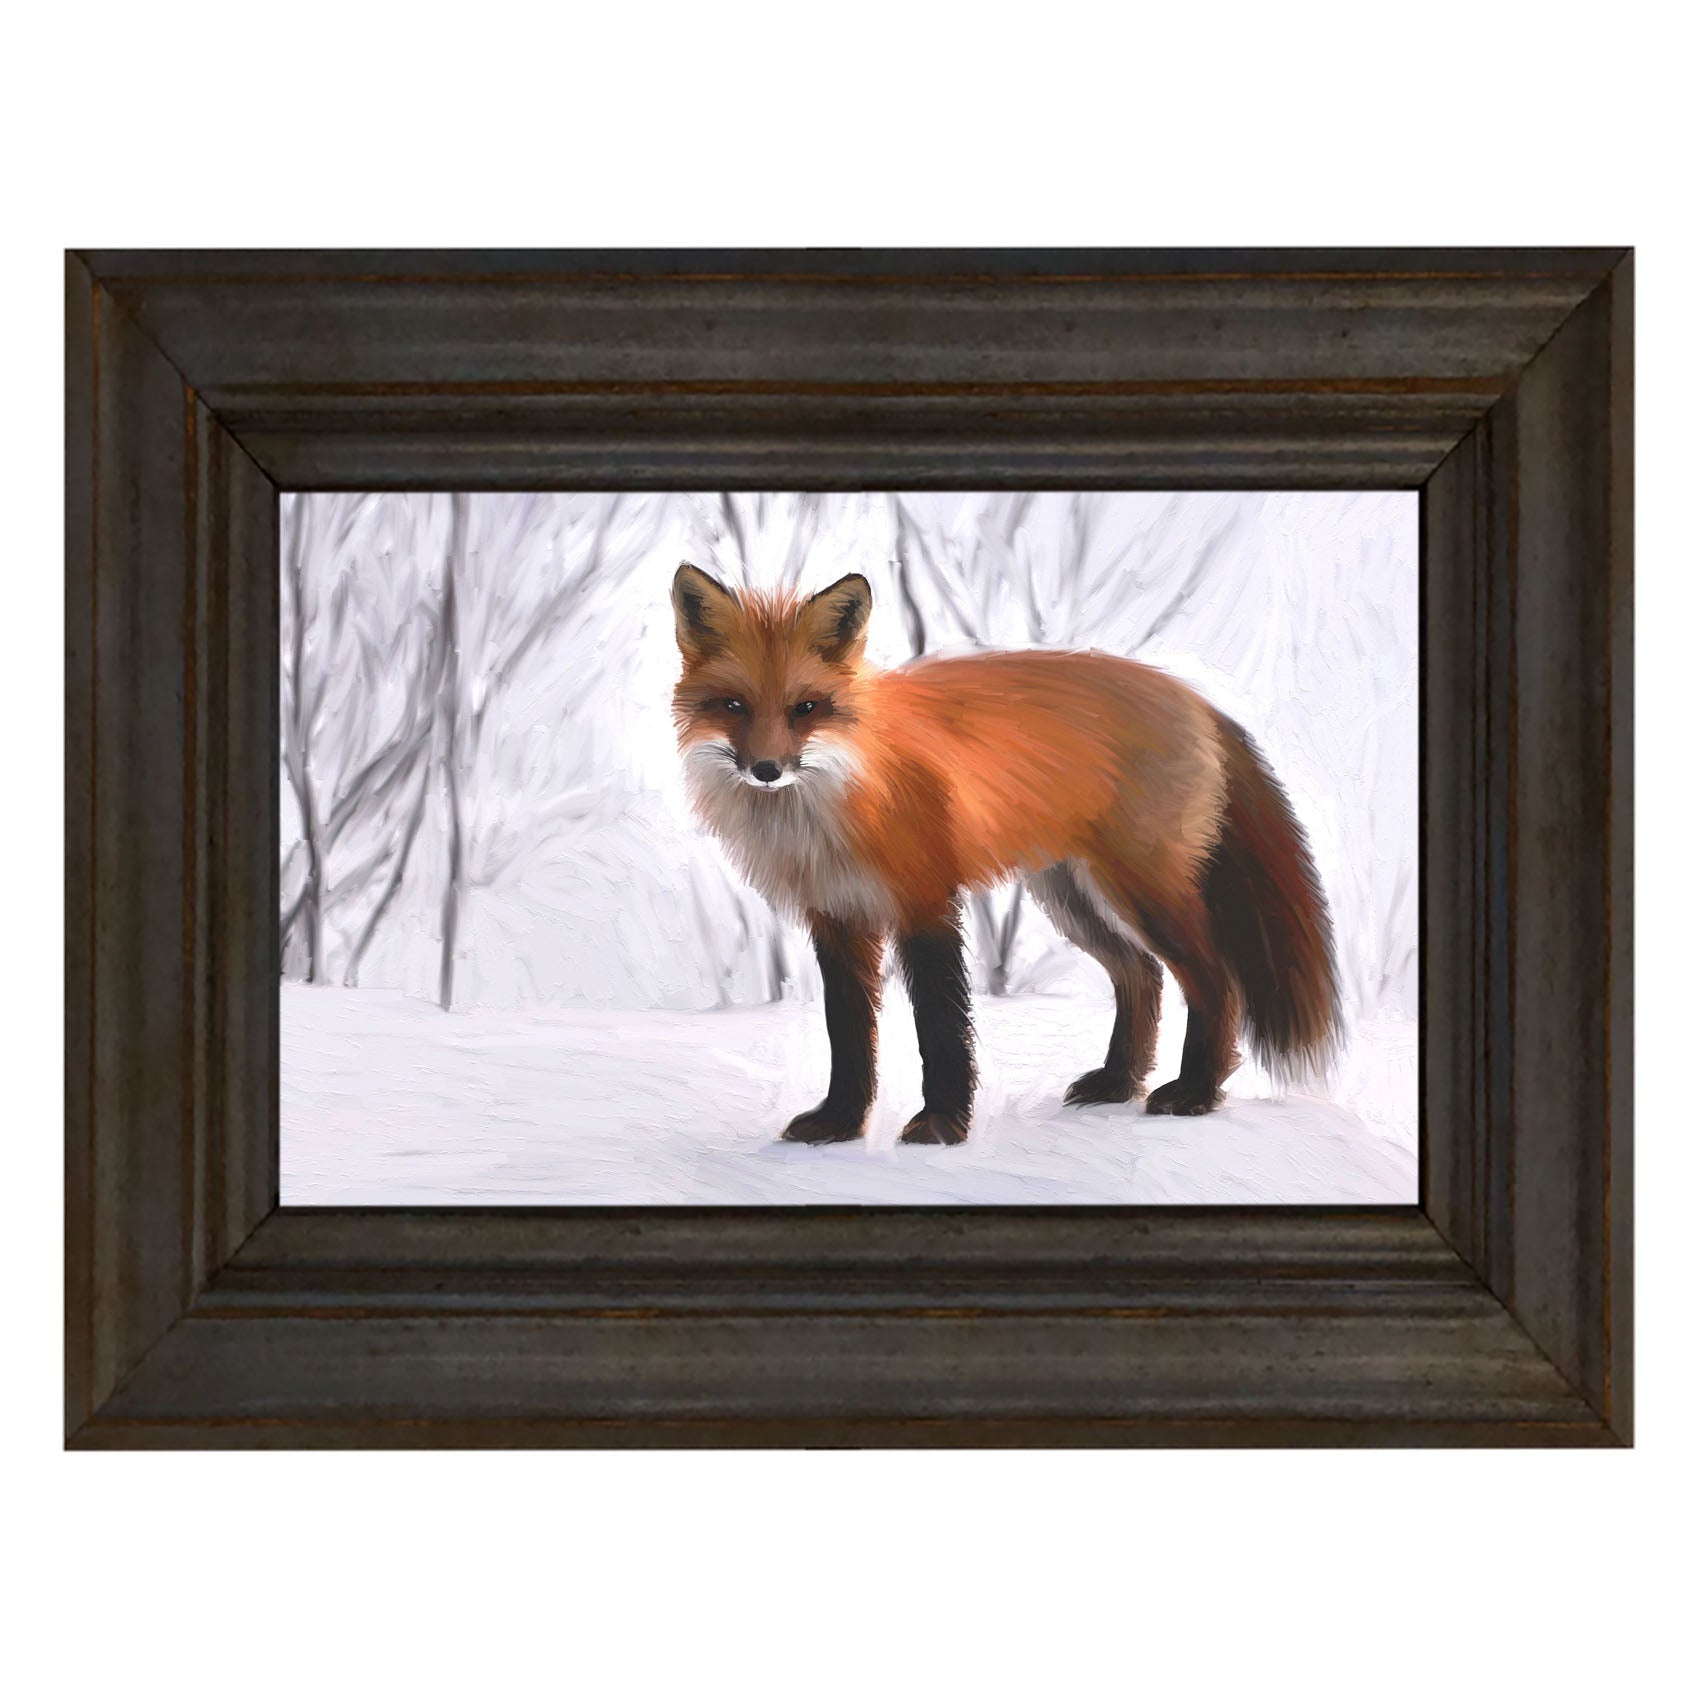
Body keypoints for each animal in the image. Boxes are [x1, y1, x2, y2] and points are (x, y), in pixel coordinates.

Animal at [671, 561, 1340, 1146]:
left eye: (805, 708)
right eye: (734, 706)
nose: (766, 770)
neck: (837, 802)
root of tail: (1194, 697)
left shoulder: (925, 902)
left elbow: (940, 1026)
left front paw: (941, 1125)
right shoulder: (836, 918)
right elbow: (849, 1032)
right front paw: (839, 1123)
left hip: (1144, 892)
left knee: (1214, 979)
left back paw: (1195, 1093)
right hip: (1071, 898)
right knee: (1140, 975)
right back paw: (1118, 1082)